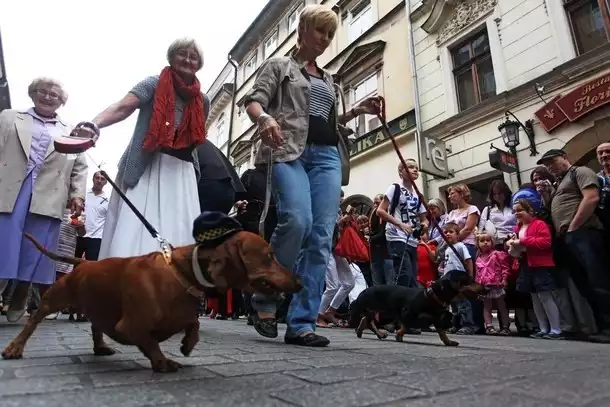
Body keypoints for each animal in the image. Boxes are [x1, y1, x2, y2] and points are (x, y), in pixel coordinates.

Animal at [350, 274, 482, 348]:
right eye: (470, 281)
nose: (484, 288)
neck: (431, 297)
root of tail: (362, 293)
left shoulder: (438, 318)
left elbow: (442, 333)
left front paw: (449, 342)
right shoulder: (406, 314)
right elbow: (407, 325)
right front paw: (399, 335)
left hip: (382, 313)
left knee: (367, 319)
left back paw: (367, 332)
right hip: (384, 312)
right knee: (369, 320)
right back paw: (376, 333)